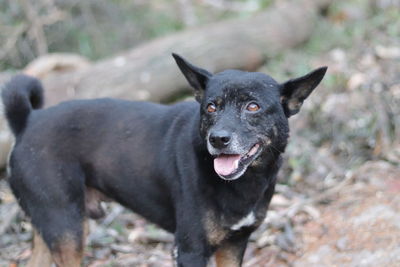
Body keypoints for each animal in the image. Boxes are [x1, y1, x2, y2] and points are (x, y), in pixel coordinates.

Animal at [1, 55, 326, 267]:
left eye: (253, 106)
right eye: (210, 107)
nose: (218, 139)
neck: (245, 182)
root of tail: (28, 121)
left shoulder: (234, 244)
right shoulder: (190, 249)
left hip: (52, 228)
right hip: (67, 229)